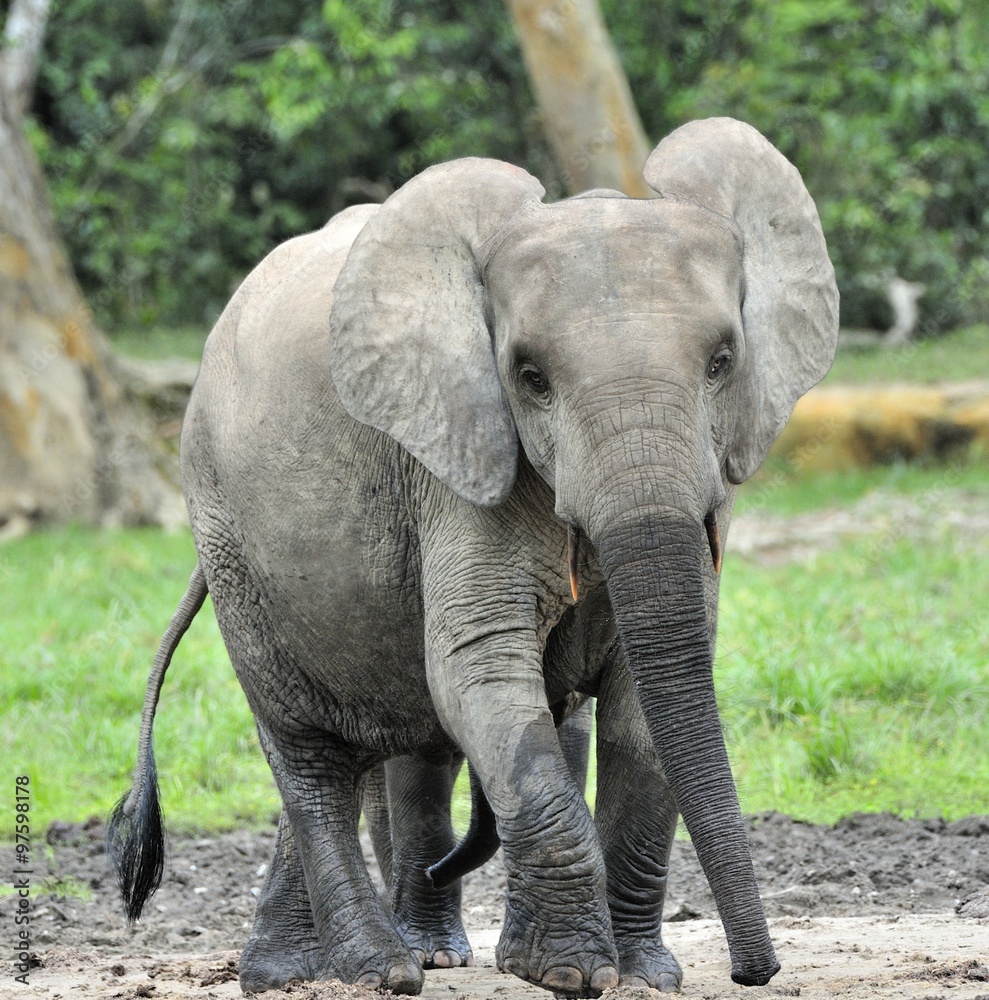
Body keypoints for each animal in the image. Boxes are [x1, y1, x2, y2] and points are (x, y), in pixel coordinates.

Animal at [107, 117, 838, 996]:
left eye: (722, 362)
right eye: (529, 377)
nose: (754, 971)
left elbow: (645, 702)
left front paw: (641, 976)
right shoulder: (452, 466)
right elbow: (479, 668)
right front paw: (566, 973)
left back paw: (294, 970)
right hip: (228, 535)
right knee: (310, 754)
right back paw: (378, 969)